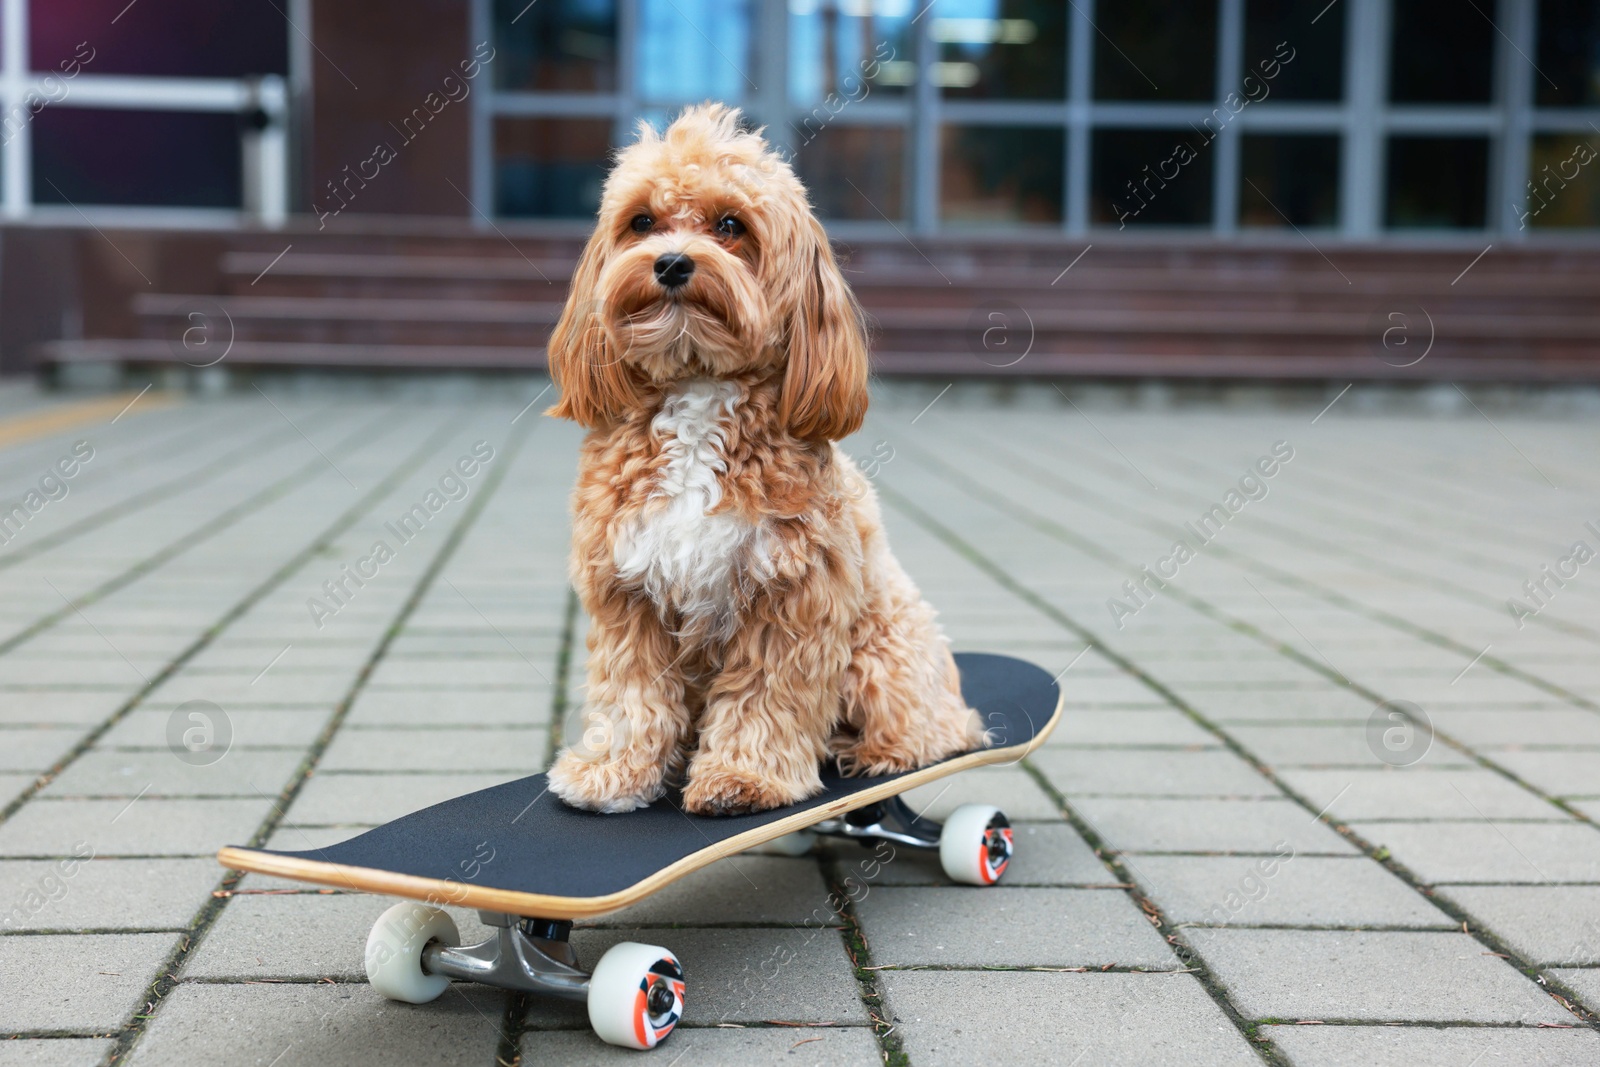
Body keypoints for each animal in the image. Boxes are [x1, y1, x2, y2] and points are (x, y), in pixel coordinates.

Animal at [544, 102, 979, 819]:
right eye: (641, 221)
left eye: (730, 226)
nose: (671, 263)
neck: (698, 385)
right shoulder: (627, 594)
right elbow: (632, 694)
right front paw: (614, 772)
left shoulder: (790, 597)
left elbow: (763, 698)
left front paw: (744, 778)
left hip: (882, 652)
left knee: (933, 733)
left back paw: (868, 752)